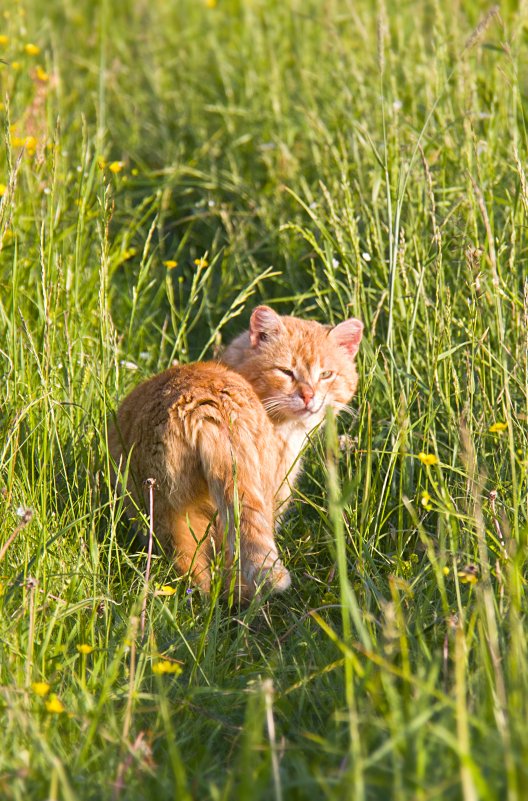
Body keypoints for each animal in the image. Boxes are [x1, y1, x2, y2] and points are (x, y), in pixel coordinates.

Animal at [107, 306, 364, 600]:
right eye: (286, 372)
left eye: (326, 374)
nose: (309, 396)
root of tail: (204, 402)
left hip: (165, 514)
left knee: (192, 568)